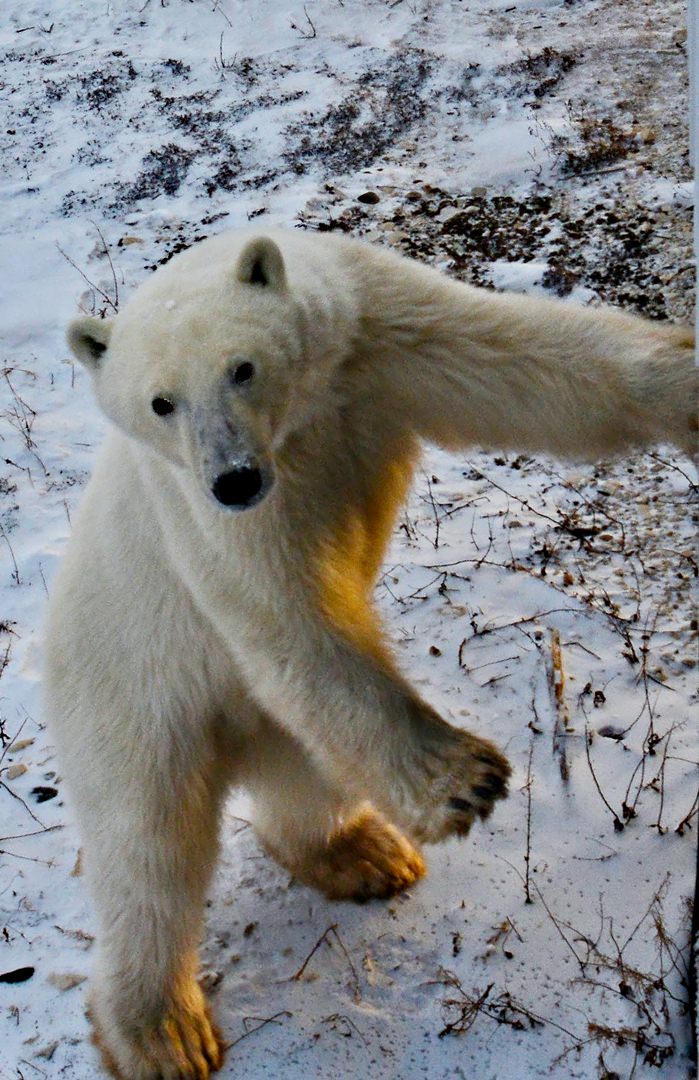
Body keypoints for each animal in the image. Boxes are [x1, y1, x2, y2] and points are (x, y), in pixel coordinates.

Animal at [45, 228, 696, 1080]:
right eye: (161, 402)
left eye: (241, 368)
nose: (234, 478)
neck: (301, 416)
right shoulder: (202, 504)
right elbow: (286, 612)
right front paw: (463, 779)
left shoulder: (376, 334)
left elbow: (531, 365)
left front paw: (684, 385)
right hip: (128, 697)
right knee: (149, 849)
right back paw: (161, 1033)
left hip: (263, 721)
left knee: (303, 773)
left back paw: (362, 853)